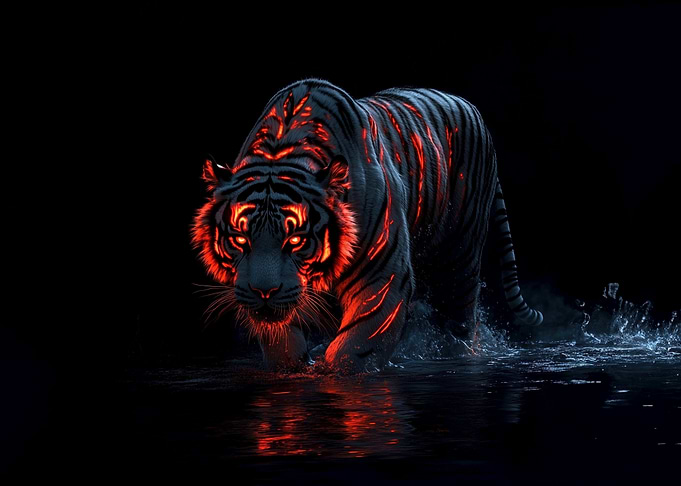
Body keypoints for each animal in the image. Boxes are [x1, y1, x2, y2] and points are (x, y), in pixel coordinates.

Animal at [192, 79, 543, 373]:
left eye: (295, 240)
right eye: (240, 239)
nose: (264, 292)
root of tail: (471, 107)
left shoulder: (383, 275)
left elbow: (357, 345)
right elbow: (281, 342)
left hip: (460, 257)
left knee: (458, 321)